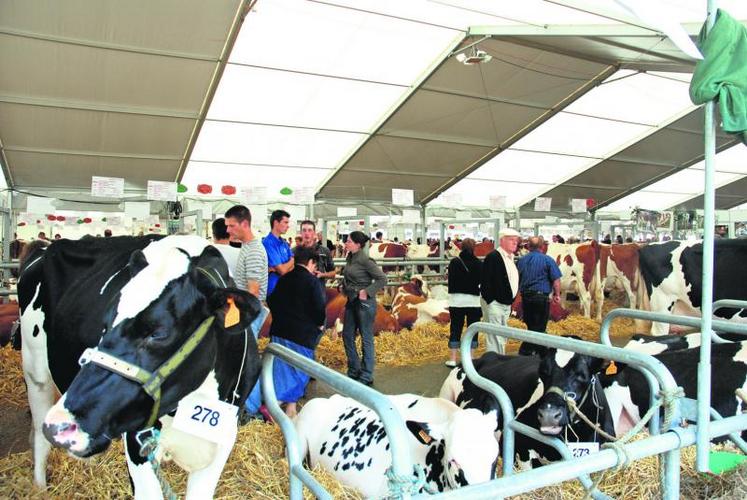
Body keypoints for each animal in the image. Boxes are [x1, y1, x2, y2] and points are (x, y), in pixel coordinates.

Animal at [19, 236, 262, 498]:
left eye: (158, 334)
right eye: (105, 325)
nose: (60, 426)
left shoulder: (224, 437)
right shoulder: (138, 440)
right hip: (34, 369)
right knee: (39, 432)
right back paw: (40, 487)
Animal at [438, 348, 612, 468]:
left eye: (582, 375)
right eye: (543, 372)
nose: (549, 414)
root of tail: (488, 355)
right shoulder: (520, 449)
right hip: (445, 394)